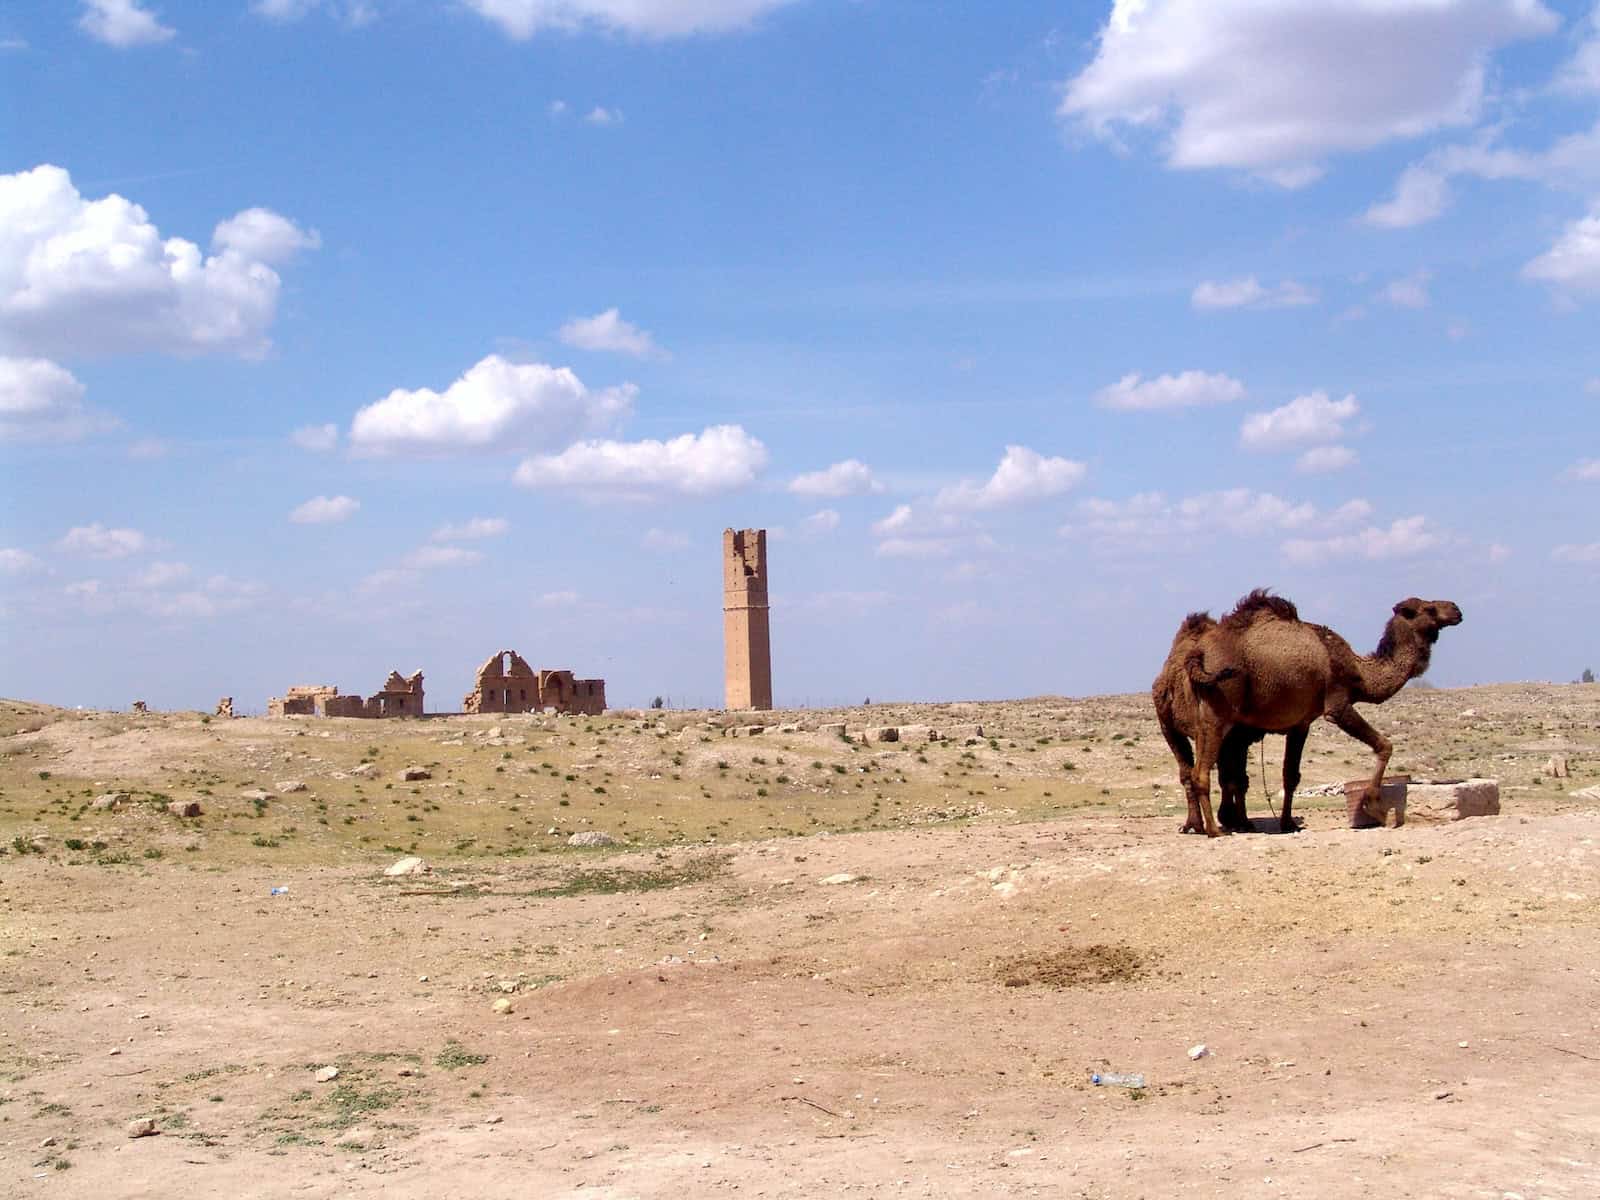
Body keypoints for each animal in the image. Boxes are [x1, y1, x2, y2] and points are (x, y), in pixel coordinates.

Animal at [1177, 588, 1465, 838]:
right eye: (1429, 608)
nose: (1456, 609)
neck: (1358, 672)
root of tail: (1197, 654)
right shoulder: (1336, 704)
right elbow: (1385, 745)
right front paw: (1372, 803)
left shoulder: (1301, 722)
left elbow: (1291, 775)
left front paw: (1288, 824)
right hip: (1219, 712)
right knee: (1201, 771)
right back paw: (1214, 831)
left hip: (1205, 713)